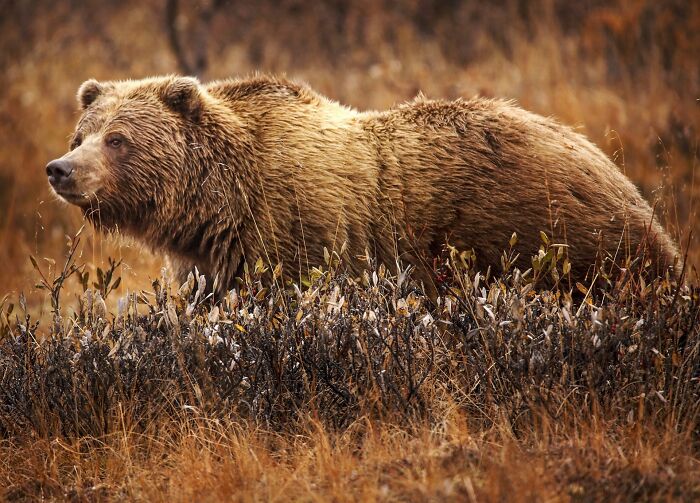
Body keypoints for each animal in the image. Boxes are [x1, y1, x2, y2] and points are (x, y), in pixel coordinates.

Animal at [45, 76, 680, 294]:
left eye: (118, 139)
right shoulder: (214, 259)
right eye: (82, 132)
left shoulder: (298, 234)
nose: (61, 168)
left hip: (553, 237)